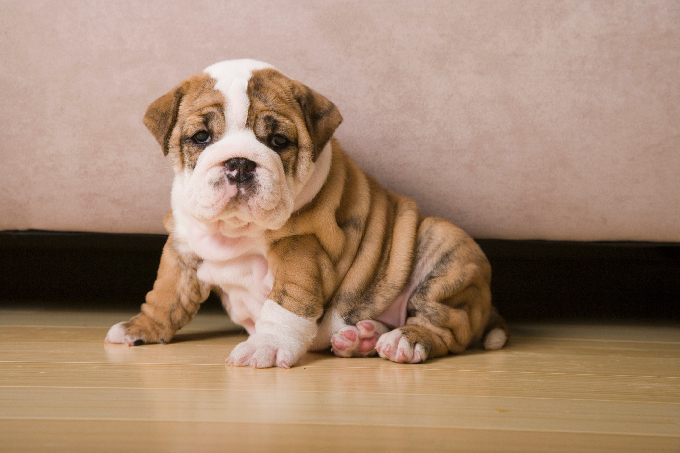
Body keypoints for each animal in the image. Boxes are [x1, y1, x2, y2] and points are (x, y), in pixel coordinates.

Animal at [106, 59, 508, 368]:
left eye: (278, 141)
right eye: (201, 137)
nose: (239, 163)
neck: (237, 230)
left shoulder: (302, 248)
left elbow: (286, 304)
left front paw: (265, 347)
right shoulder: (182, 247)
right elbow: (165, 294)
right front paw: (140, 328)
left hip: (444, 247)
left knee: (445, 325)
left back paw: (405, 341)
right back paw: (360, 338)